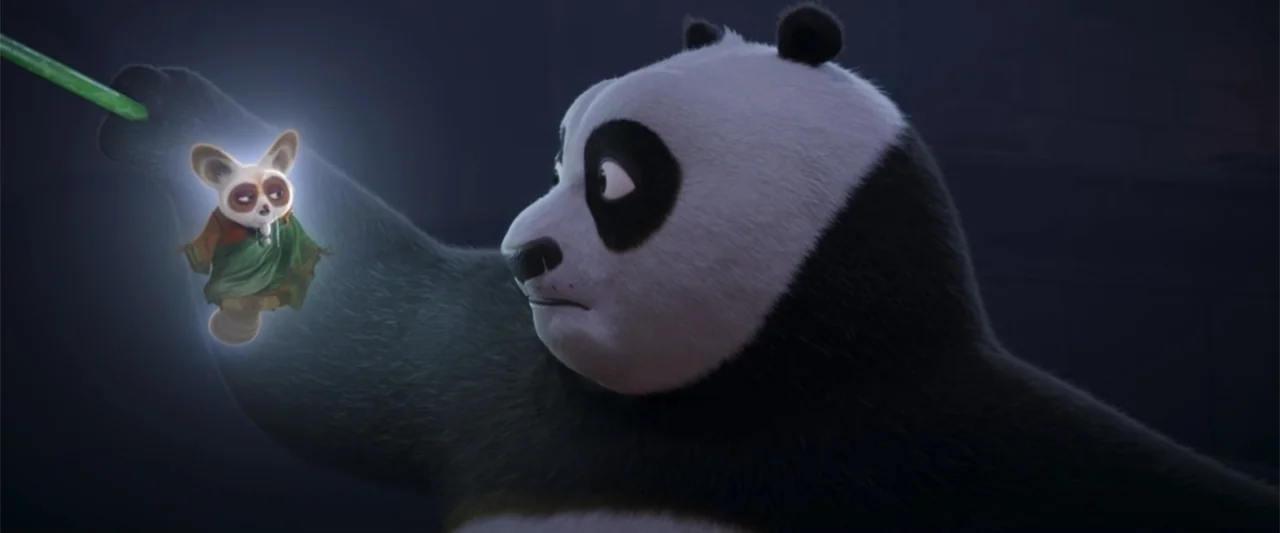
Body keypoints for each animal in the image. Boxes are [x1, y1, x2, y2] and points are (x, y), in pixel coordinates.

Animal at [97, 5, 1278, 533]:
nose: (526, 251)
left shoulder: (958, 453)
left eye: (617, 181)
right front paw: (165, 116)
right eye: (556, 159)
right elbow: (358, 351)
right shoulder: (504, 396)